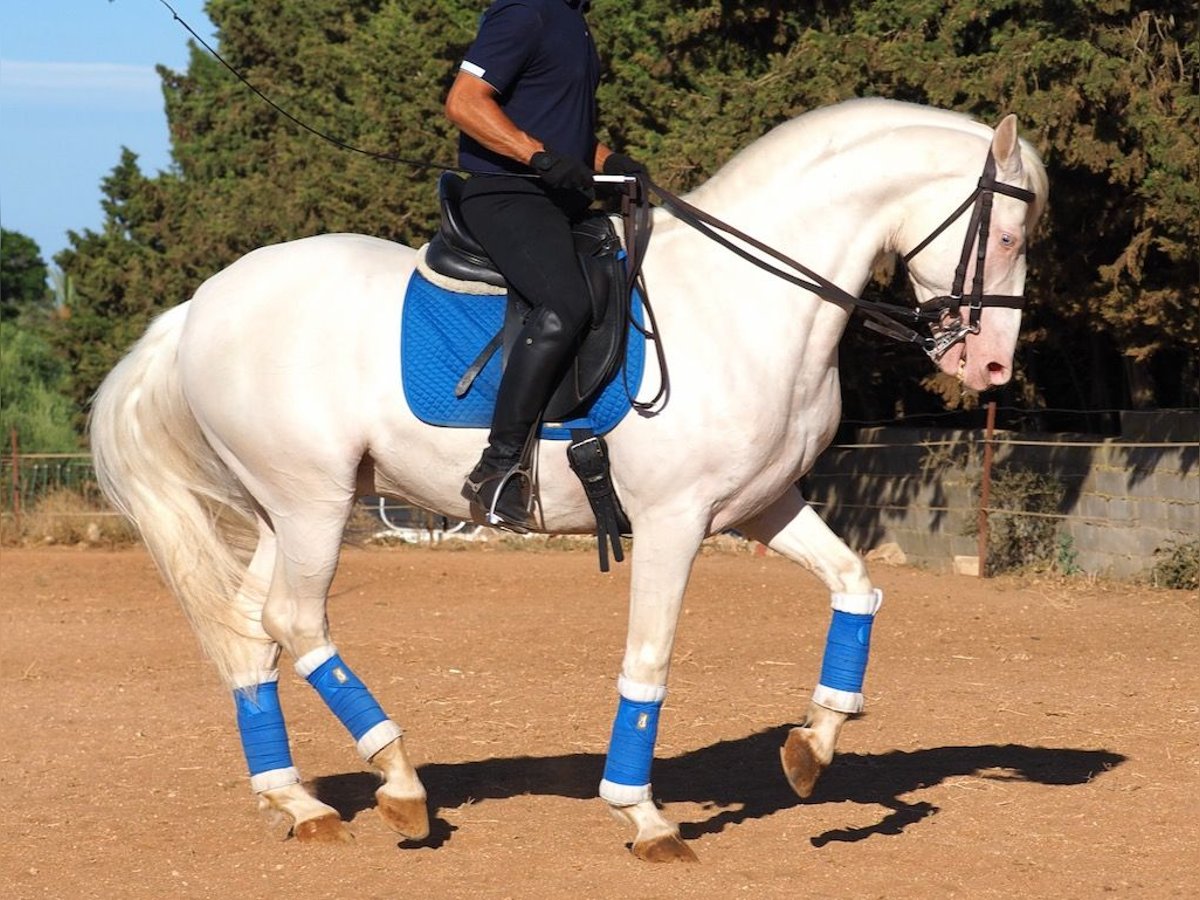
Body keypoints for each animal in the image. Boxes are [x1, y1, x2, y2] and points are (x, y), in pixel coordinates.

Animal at [91, 97, 1041, 859]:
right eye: (1005, 235)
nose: (992, 367)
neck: (743, 301)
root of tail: (200, 304)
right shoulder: (674, 521)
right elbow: (649, 659)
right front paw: (643, 816)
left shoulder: (765, 505)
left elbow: (856, 587)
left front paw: (815, 746)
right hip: (312, 502)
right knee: (295, 622)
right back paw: (398, 782)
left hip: (284, 511)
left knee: (252, 631)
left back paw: (298, 802)